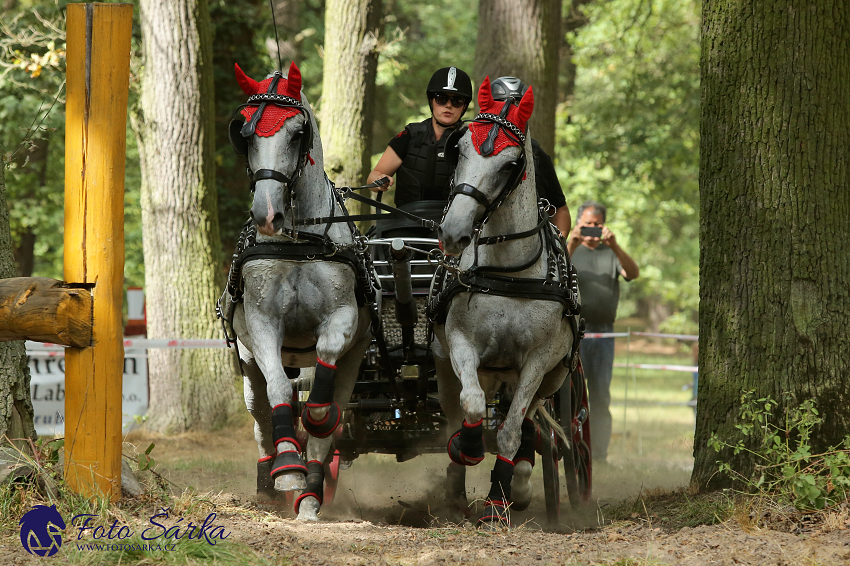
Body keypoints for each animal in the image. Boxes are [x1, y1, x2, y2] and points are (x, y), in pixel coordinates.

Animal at [220, 62, 376, 524]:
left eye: (296, 132)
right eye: (246, 133)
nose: (267, 214)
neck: (299, 241)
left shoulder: (343, 319)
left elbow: (325, 379)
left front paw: (315, 425)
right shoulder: (262, 325)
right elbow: (277, 394)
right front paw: (287, 465)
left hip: (353, 364)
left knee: (329, 423)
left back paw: (310, 494)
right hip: (248, 366)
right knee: (263, 417)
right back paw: (274, 474)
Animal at [430, 79, 576, 528]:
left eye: (510, 164)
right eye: (460, 149)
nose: (453, 232)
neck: (509, 274)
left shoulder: (538, 361)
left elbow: (511, 432)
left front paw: (499, 500)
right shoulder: (461, 345)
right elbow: (473, 406)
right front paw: (469, 447)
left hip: (551, 378)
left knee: (527, 421)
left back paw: (522, 481)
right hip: (447, 369)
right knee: (456, 412)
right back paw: (455, 482)